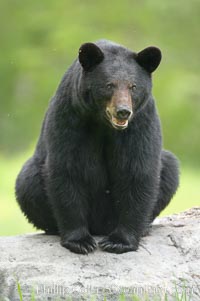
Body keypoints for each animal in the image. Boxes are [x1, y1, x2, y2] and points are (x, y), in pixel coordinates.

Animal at [14, 40, 179, 253]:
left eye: (133, 86)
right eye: (109, 85)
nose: (123, 111)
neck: (103, 124)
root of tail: (100, 226)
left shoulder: (141, 122)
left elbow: (137, 169)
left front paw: (120, 241)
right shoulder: (70, 116)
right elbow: (67, 169)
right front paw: (80, 241)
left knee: (169, 166)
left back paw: (144, 227)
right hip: (33, 176)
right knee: (27, 181)